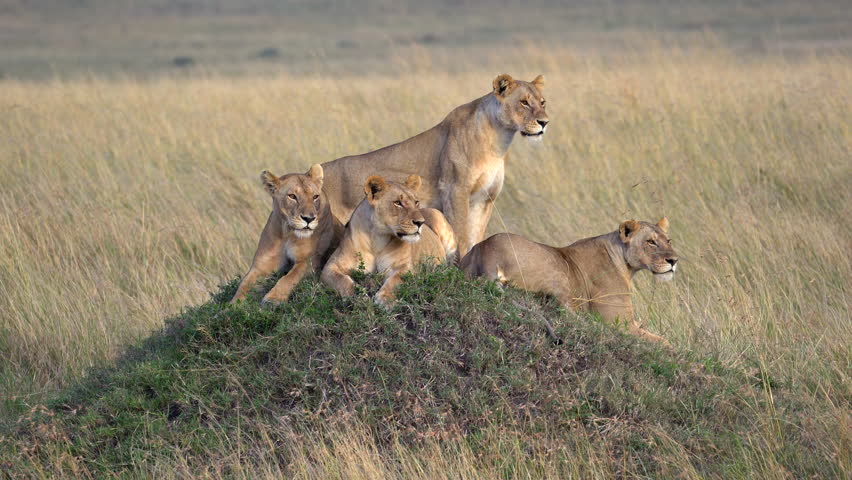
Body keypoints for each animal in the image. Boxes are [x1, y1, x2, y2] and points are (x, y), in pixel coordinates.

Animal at [231, 164, 343, 305]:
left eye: (315, 197)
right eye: (292, 196)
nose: (309, 218)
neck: (287, 233)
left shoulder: (309, 261)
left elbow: (290, 277)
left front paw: (273, 299)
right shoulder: (261, 266)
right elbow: (244, 285)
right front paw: (231, 305)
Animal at [320, 73, 548, 256]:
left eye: (543, 102)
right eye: (524, 102)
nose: (544, 122)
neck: (498, 141)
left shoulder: (485, 199)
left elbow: (475, 236)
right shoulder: (455, 191)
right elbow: (460, 234)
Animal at [321, 174, 457, 307]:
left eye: (416, 202)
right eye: (397, 203)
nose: (420, 222)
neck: (377, 239)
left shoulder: (405, 267)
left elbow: (396, 280)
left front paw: (385, 299)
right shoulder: (331, 266)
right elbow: (341, 280)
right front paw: (357, 295)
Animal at [460, 218, 679, 343]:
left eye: (668, 241)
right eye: (651, 242)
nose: (674, 260)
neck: (626, 264)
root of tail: (487, 251)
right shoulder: (620, 323)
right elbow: (664, 343)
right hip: (558, 270)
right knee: (563, 310)